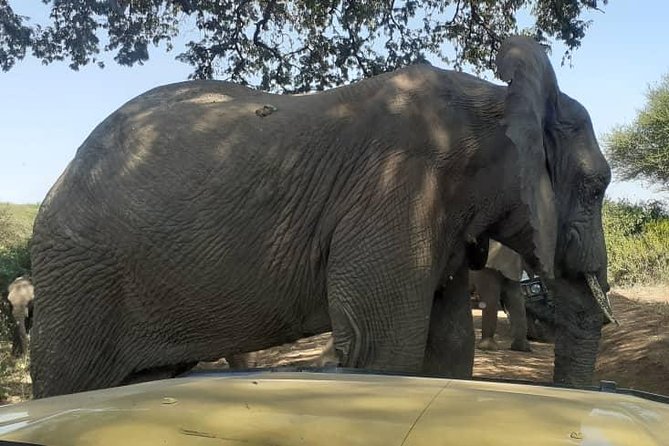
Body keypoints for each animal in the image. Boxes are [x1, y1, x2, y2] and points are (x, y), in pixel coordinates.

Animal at [29, 35, 614, 398]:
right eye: (596, 188)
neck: (498, 98)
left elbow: (448, 347)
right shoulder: (397, 189)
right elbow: (385, 348)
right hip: (79, 280)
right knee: (66, 381)